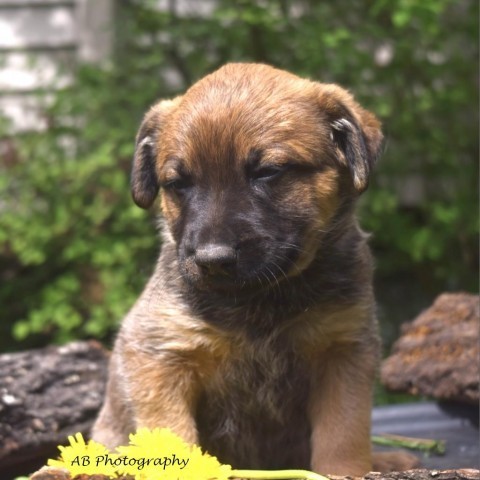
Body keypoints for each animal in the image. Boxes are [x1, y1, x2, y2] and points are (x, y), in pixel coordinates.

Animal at [93, 63, 390, 476]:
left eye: (269, 171)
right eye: (177, 183)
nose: (212, 259)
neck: (260, 301)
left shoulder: (344, 350)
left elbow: (343, 433)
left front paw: (344, 471)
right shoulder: (160, 355)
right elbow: (172, 436)